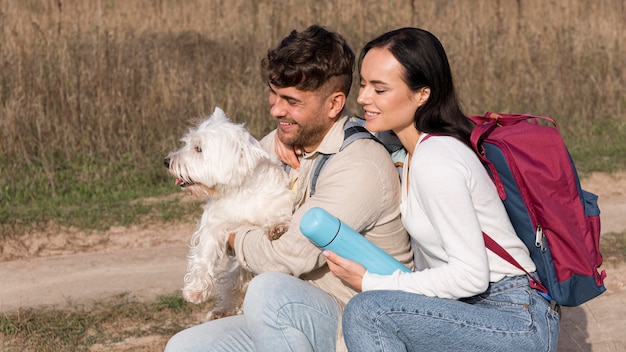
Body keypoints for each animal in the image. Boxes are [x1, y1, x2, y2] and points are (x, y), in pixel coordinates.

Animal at [165, 106, 294, 320]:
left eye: (198, 149)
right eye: (188, 143)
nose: (166, 161)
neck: (240, 191)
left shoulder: (277, 201)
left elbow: (277, 215)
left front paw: (277, 227)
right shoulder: (214, 224)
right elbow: (204, 255)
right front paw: (195, 290)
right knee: (232, 289)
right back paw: (221, 311)